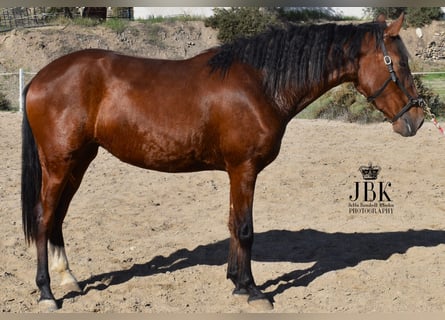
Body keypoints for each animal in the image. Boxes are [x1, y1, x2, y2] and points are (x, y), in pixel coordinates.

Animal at [21, 13, 424, 312]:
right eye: (400, 62)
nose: (417, 120)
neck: (261, 84)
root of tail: (39, 78)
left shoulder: (236, 171)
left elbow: (233, 224)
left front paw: (236, 283)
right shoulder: (243, 168)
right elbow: (245, 228)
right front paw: (253, 290)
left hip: (78, 162)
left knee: (57, 218)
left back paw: (67, 277)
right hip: (59, 164)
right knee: (43, 218)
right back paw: (47, 293)